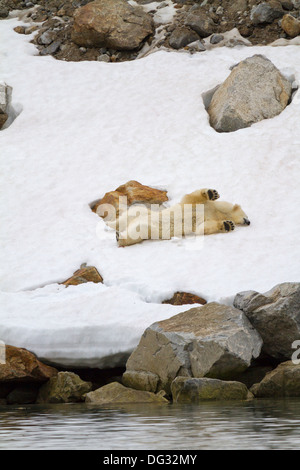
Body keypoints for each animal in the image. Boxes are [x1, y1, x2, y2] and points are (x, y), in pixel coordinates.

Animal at [106, 188, 250, 248]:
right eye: (247, 215)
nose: (249, 222)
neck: (216, 212)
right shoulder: (198, 205)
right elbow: (191, 197)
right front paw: (211, 193)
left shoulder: (207, 218)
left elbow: (202, 228)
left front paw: (228, 225)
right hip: (143, 213)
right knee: (132, 214)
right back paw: (111, 225)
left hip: (147, 225)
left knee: (137, 230)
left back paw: (119, 236)